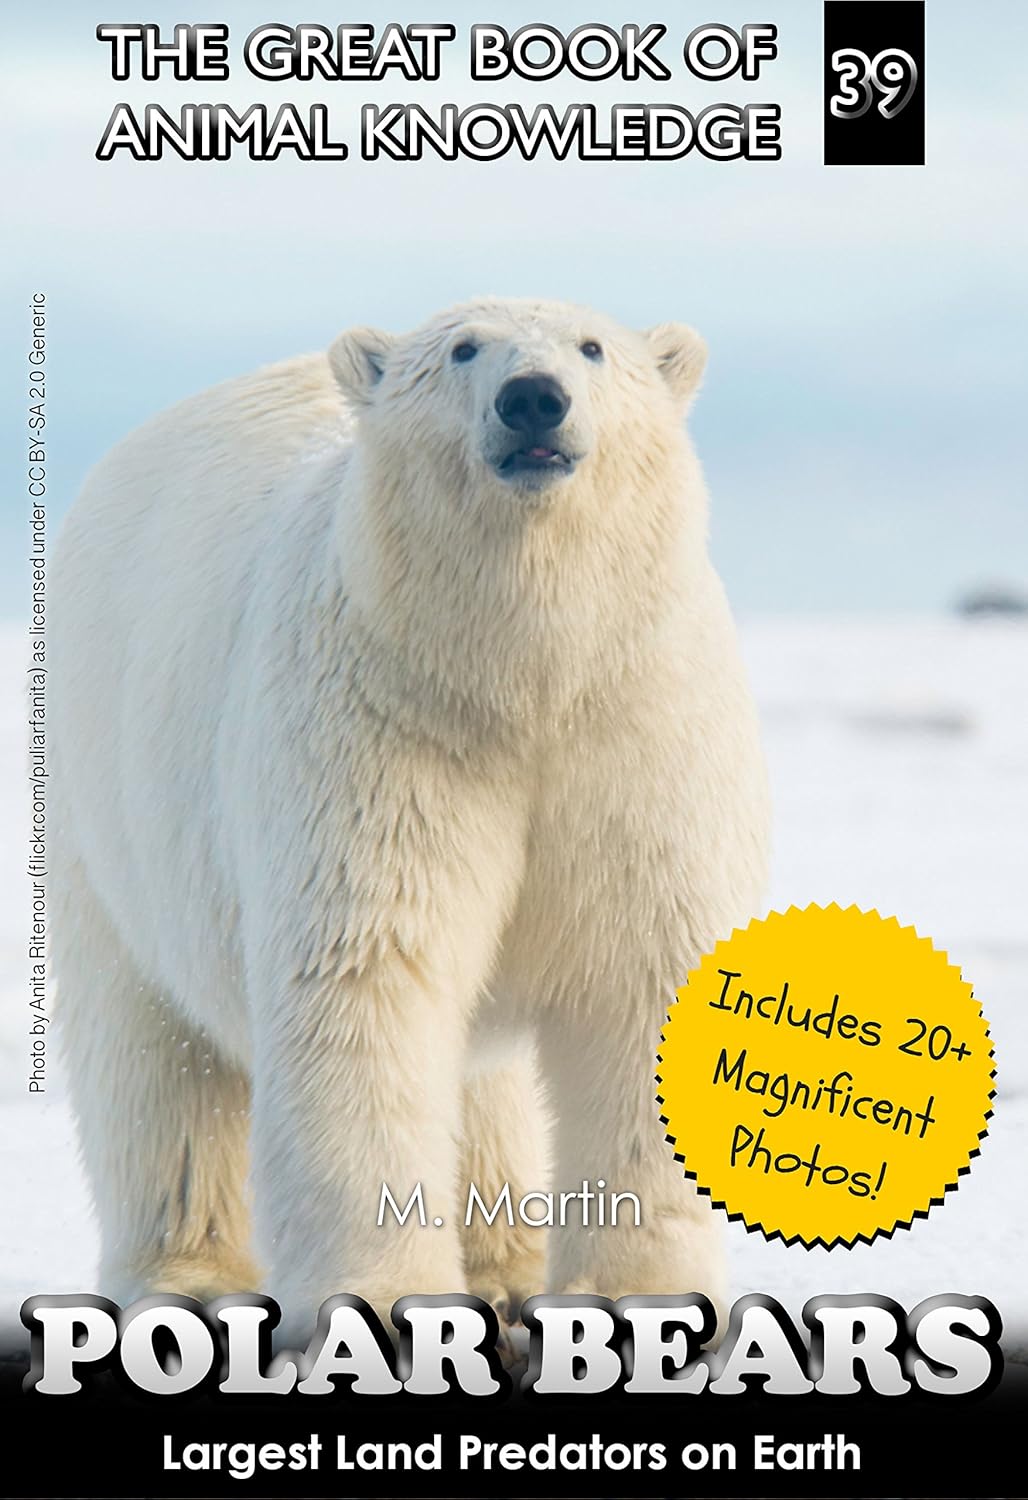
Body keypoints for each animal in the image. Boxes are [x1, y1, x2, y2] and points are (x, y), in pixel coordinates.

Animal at [49, 296, 769, 1341]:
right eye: (465, 348)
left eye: (593, 348)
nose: (533, 398)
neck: (520, 678)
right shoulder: (381, 726)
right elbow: (370, 981)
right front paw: (385, 1308)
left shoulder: (638, 735)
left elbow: (642, 978)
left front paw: (641, 1304)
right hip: (100, 805)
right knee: (153, 1057)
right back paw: (190, 1280)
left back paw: (507, 1268)